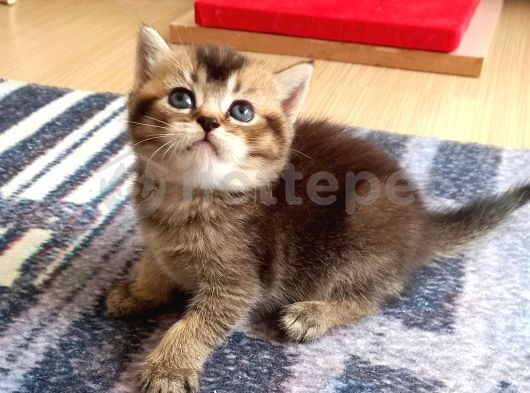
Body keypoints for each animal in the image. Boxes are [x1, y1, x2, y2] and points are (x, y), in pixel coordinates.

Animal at [106, 26, 528, 390]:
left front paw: (169, 366)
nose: (208, 121)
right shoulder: (156, 241)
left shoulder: (241, 282)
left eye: (242, 111)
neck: (188, 196)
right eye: (181, 98)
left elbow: (196, 324)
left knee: (376, 295)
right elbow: (154, 264)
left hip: (363, 219)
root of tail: (422, 225)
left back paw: (314, 313)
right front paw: (141, 291)